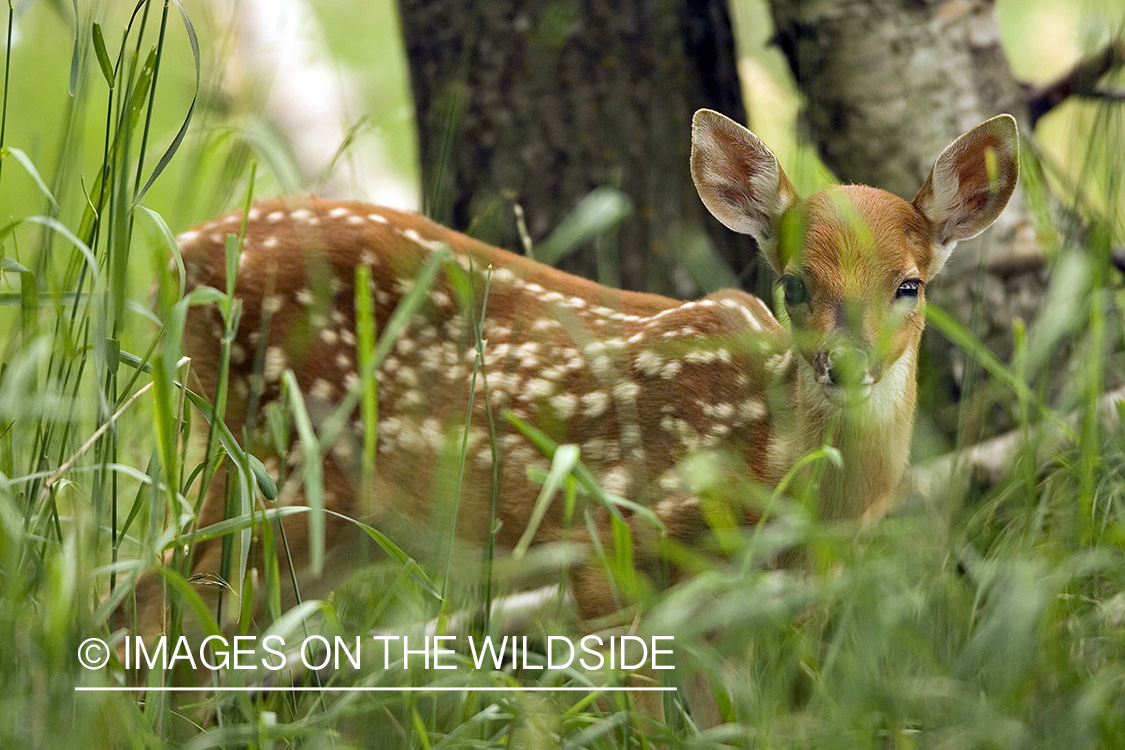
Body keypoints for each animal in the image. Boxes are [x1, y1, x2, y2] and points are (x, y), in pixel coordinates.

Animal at [119, 110, 1019, 659]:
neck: (772, 458)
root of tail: (178, 256)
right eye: (792, 283)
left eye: (909, 285)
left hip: (328, 525)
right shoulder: (608, 532)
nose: (845, 363)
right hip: (272, 456)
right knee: (162, 601)